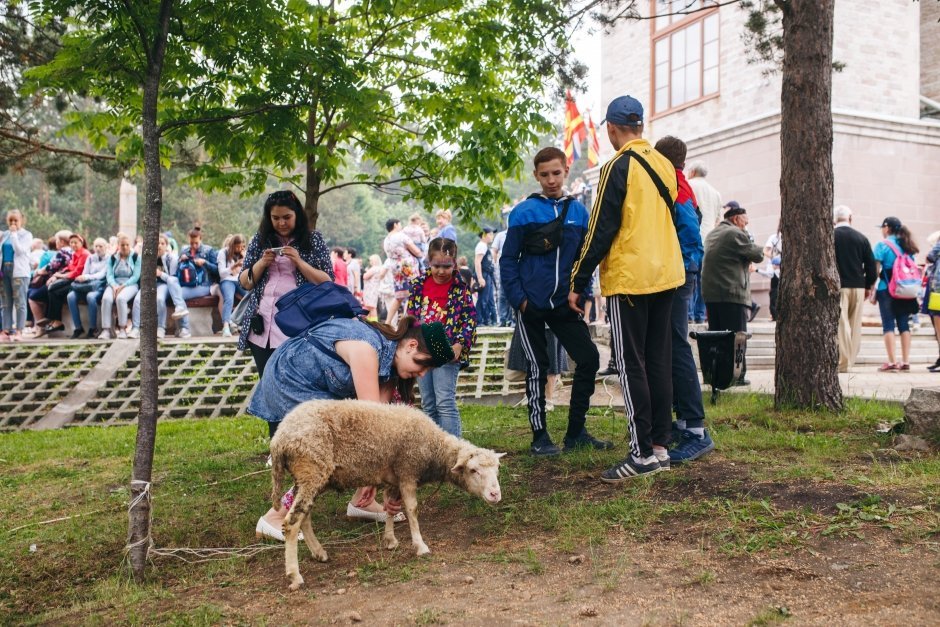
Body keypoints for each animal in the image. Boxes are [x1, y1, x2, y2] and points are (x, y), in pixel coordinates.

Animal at [270, 400, 506, 592]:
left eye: (497, 470)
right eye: (473, 470)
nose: (495, 494)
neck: (433, 448)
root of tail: (279, 439)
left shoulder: (394, 479)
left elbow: (390, 508)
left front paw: (390, 540)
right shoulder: (407, 470)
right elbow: (412, 509)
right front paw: (420, 546)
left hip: (311, 477)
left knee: (305, 517)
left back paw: (319, 553)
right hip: (312, 469)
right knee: (291, 522)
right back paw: (295, 575)